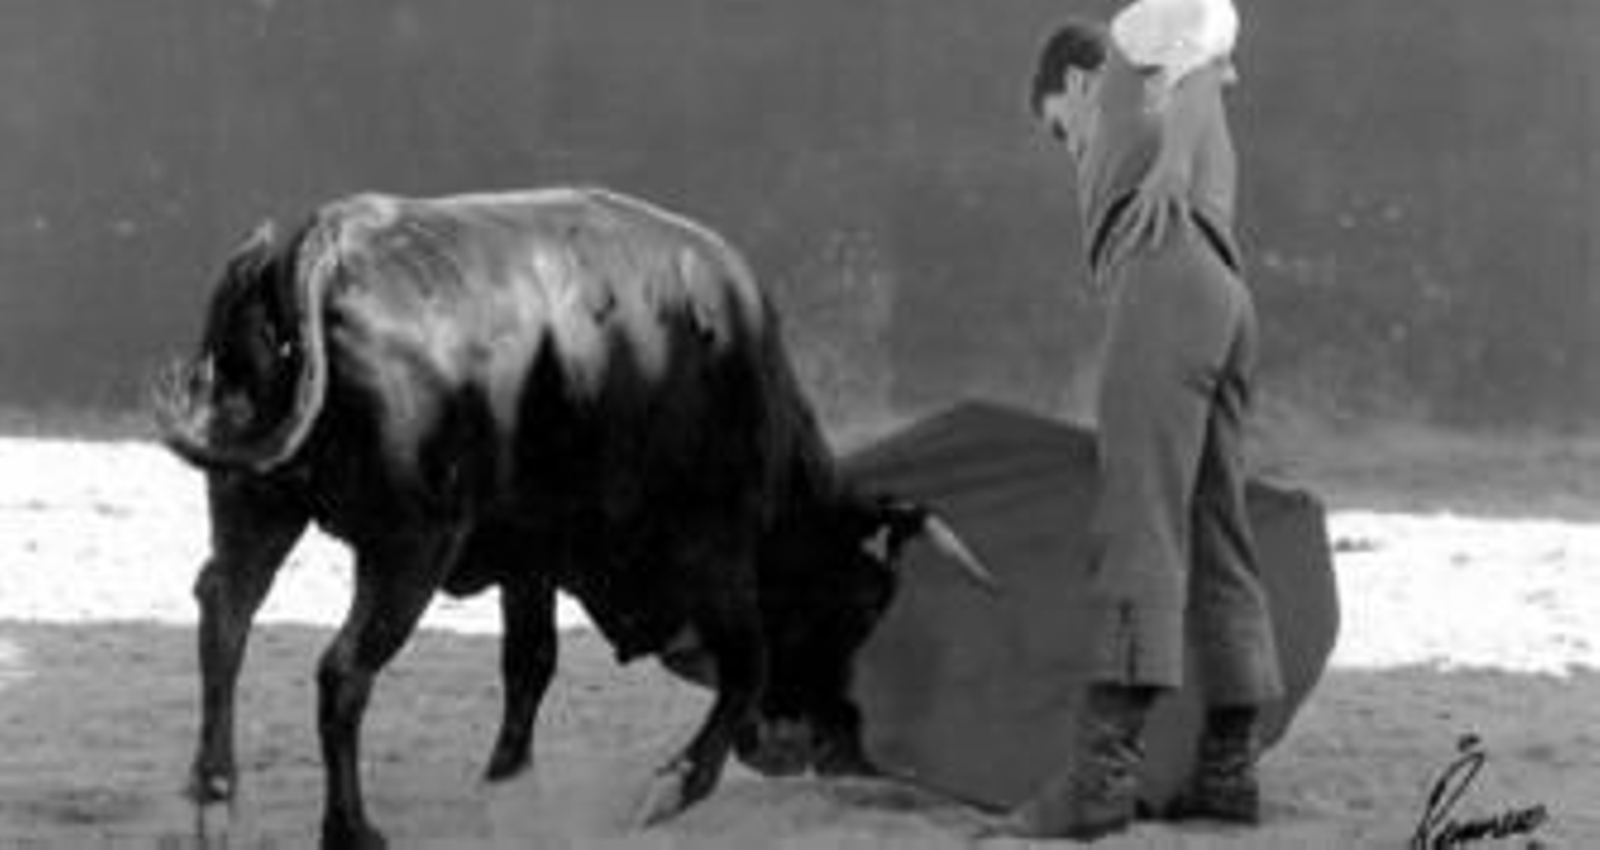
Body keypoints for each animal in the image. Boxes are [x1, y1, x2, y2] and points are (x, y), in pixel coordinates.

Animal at [151, 187, 993, 849]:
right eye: (860, 608)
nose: (828, 745)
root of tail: (325, 243)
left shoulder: (531, 554)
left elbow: (532, 661)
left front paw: (508, 789)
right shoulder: (712, 546)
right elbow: (747, 660)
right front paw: (676, 785)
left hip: (255, 505)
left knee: (226, 614)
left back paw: (215, 801)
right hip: (409, 545)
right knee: (343, 670)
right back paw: (350, 830)